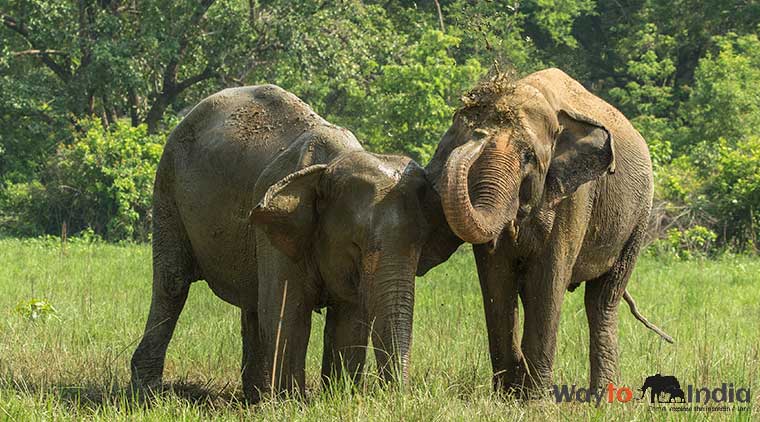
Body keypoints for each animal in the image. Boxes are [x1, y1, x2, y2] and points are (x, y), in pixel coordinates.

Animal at [130, 85, 443, 402]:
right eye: (356, 245)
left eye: (420, 249)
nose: (396, 397)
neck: (331, 165)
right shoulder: (276, 229)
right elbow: (288, 311)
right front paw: (293, 403)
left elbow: (349, 318)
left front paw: (337, 398)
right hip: (167, 186)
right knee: (172, 284)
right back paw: (147, 391)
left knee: (252, 303)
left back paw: (255, 398)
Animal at [418, 68, 672, 394]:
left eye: (528, 156)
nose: (477, 135)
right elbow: (496, 277)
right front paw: (507, 395)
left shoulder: (575, 194)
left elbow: (549, 277)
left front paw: (535, 398)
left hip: (639, 219)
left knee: (603, 299)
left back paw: (602, 397)